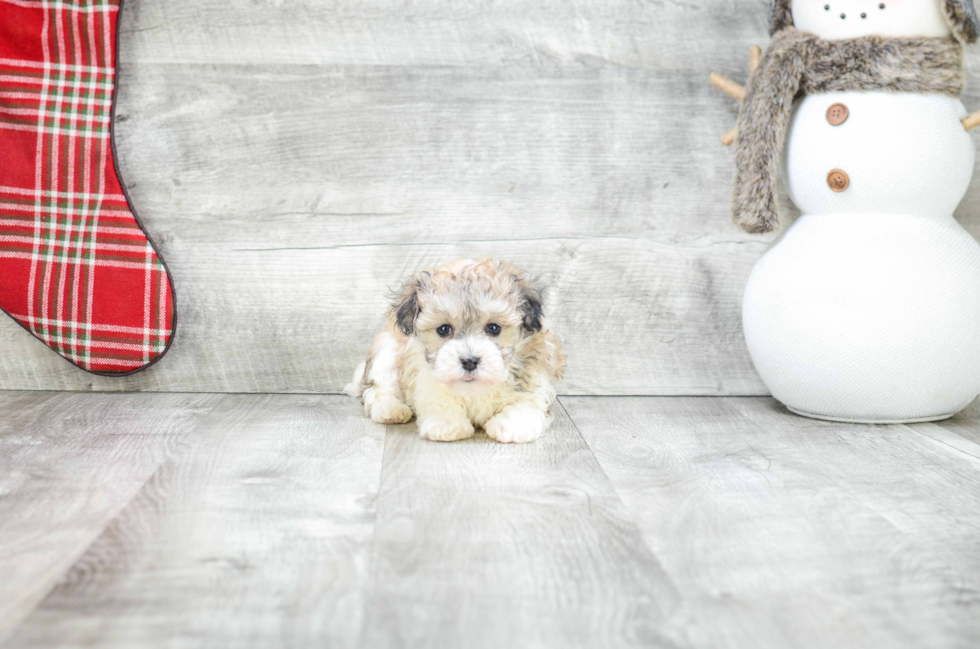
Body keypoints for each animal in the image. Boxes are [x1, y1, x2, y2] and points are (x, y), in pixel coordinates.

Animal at [348, 256, 572, 440]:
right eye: (444, 329)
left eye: (494, 328)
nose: (470, 361)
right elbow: (440, 396)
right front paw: (446, 424)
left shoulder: (534, 373)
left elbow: (527, 402)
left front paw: (511, 425)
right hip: (387, 348)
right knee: (378, 388)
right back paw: (390, 409)